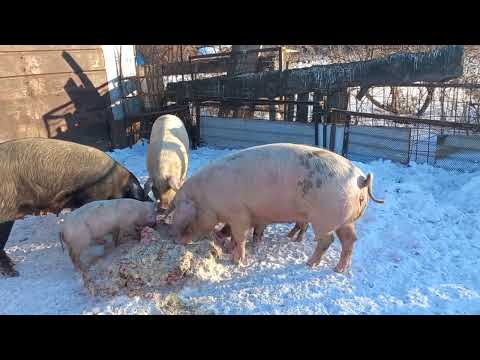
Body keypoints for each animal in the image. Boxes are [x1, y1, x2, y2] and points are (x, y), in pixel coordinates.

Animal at [167, 143, 384, 272]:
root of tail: (361, 179)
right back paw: (339, 269)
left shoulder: (239, 214)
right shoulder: (246, 216)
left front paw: (237, 261)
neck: (207, 199)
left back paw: (309, 263)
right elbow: (239, 234)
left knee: (327, 240)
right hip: (345, 220)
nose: (175, 240)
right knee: (350, 239)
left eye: (185, 219)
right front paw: (229, 248)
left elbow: (240, 236)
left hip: (324, 218)